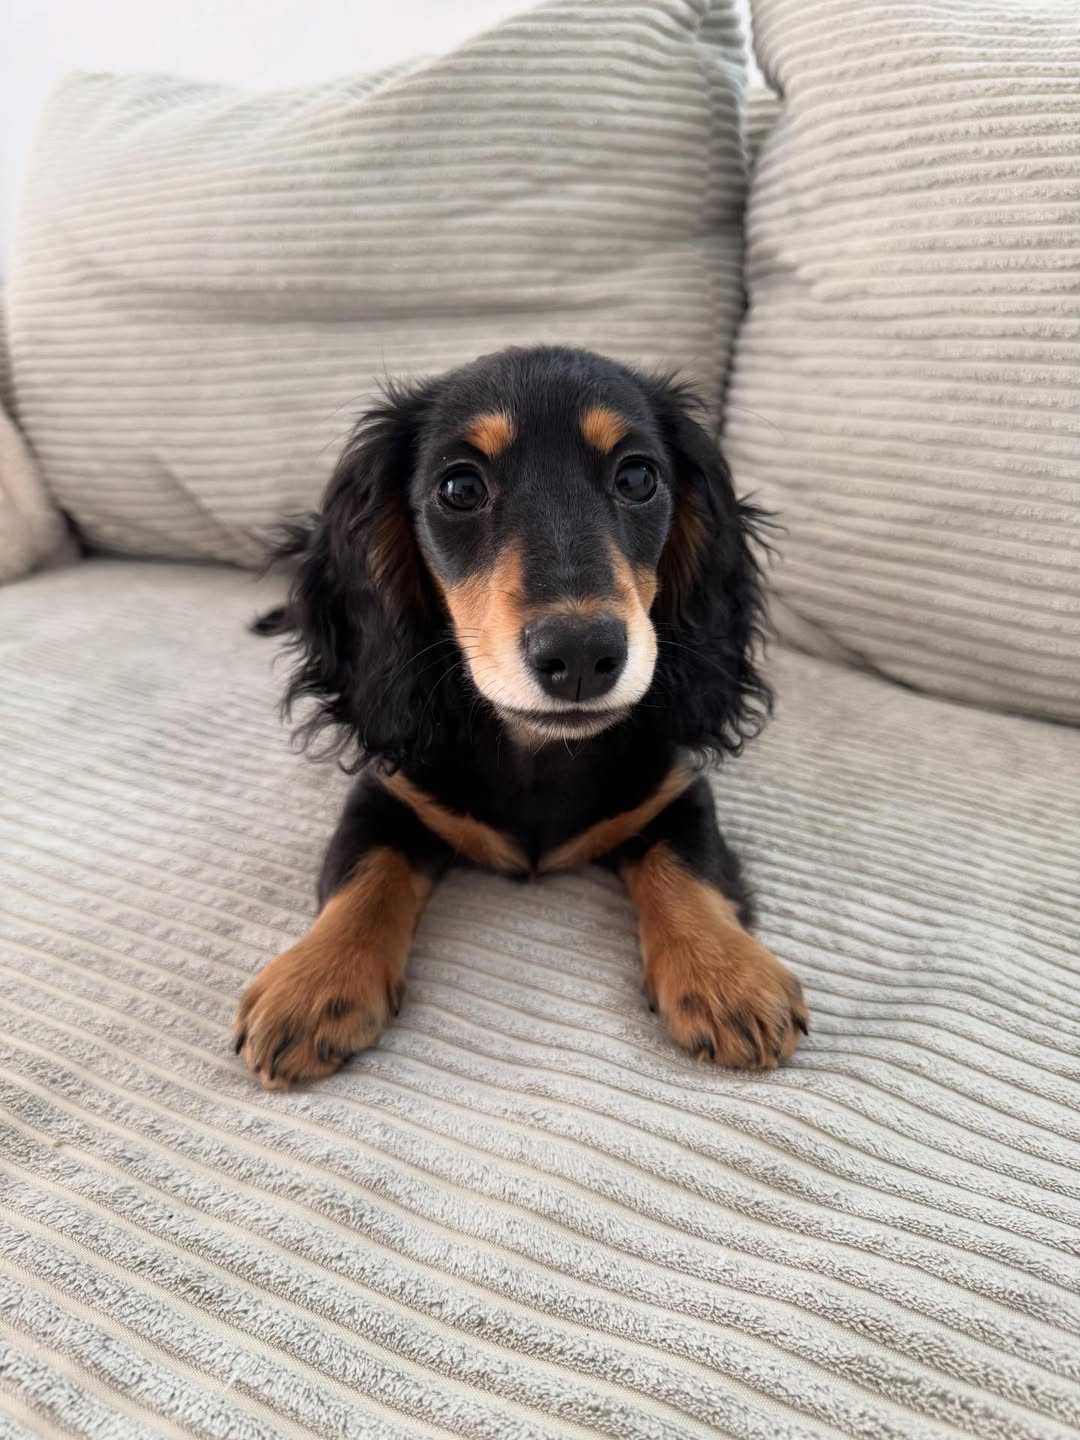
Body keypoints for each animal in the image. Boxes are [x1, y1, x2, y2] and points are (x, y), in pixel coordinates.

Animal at [235, 345, 808, 1088]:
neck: (537, 752)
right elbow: (364, 872)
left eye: (638, 477)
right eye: (459, 488)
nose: (582, 653)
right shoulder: (388, 790)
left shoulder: (675, 789)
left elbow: (688, 863)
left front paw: (726, 972)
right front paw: (313, 983)